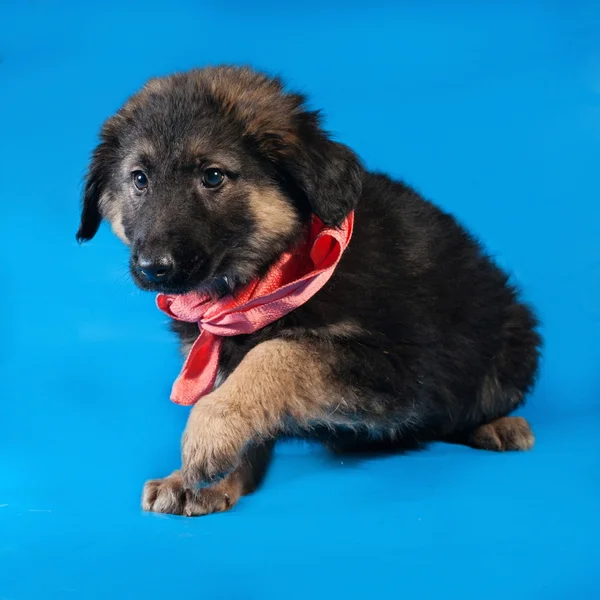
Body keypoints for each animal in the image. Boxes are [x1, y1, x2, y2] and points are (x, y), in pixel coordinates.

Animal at [77, 64, 540, 516]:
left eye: (213, 177)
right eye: (139, 179)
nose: (153, 268)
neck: (267, 278)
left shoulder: (394, 367)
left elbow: (280, 353)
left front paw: (211, 429)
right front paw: (201, 479)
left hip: (514, 336)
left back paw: (495, 424)